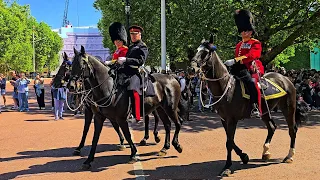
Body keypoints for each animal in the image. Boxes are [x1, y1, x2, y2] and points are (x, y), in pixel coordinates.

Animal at [191, 34, 302, 176]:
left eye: (205, 52)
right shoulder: (224, 119)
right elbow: (230, 140)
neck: (226, 87)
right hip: (264, 111)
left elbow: (229, 142)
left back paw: (289, 156)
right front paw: (244, 156)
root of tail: (285, 78)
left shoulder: (232, 119)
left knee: (292, 129)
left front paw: (227, 167)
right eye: (196, 50)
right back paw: (266, 152)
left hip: (288, 108)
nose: (192, 68)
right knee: (272, 127)